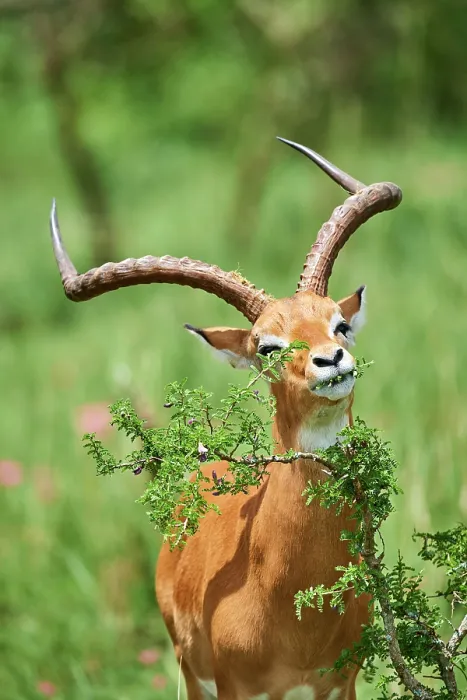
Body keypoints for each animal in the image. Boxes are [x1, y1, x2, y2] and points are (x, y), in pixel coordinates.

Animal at [49, 138, 402, 700]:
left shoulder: (339, 683)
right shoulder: (237, 685)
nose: (331, 360)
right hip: (192, 674)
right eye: (267, 346)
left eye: (339, 323)